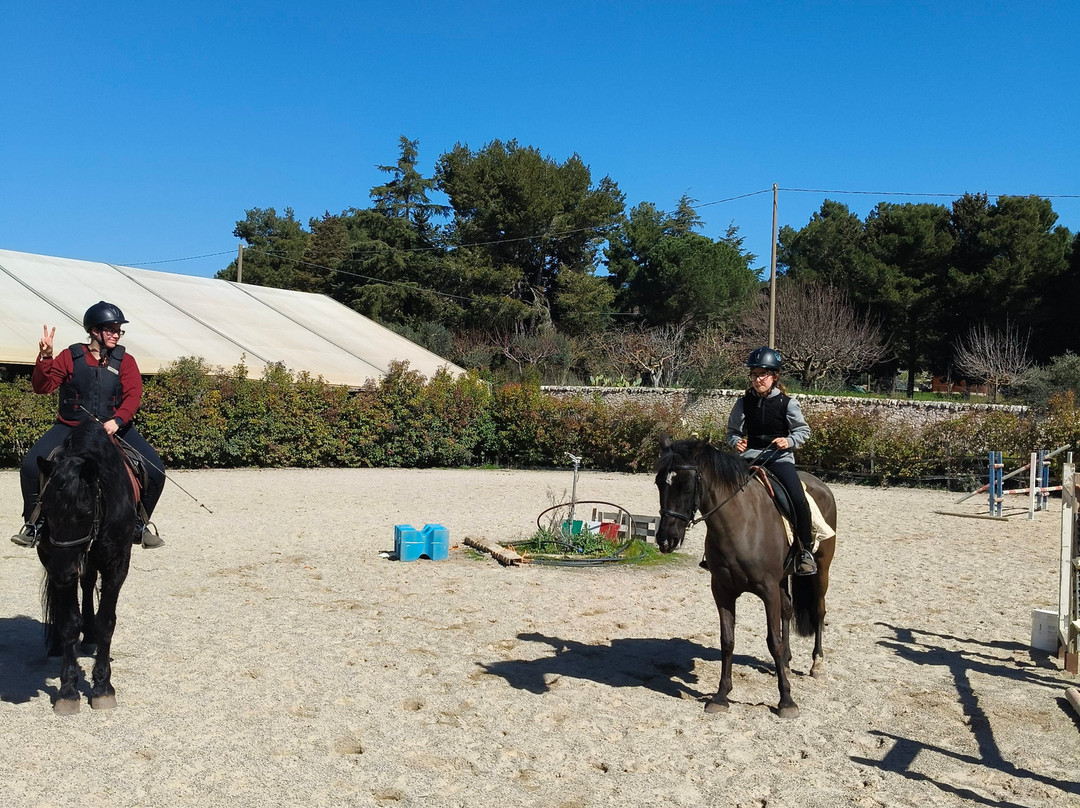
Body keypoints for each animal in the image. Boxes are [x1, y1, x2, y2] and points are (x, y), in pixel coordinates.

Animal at [35, 421, 136, 715]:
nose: (62, 572)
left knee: (89, 582)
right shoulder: (57, 561)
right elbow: (69, 622)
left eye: (85, 513)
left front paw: (102, 686)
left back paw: (89, 635)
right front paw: (68, 690)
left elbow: (106, 622)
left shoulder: (117, 565)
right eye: (47, 510)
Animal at [655, 435, 836, 719]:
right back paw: (786, 662)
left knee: (819, 611)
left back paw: (817, 664)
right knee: (787, 609)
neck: (740, 525)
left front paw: (786, 701)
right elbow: (727, 640)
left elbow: (773, 641)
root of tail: (821, 485)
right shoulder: (722, 590)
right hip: (783, 578)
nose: (666, 540)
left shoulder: (768, 590)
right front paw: (721, 696)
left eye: (687, 486)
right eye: (659, 483)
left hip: (821, 569)